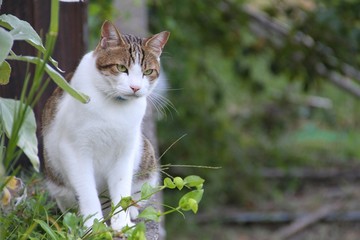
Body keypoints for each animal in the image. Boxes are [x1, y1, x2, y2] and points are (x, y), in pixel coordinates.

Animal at [42, 20, 170, 231]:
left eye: (148, 72)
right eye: (121, 68)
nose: (135, 87)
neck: (115, 107)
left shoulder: (126, 150)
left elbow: (121, 188)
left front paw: (122, 224)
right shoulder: (75, 150)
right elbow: (87, 192)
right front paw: (95, 227)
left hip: (146, 157)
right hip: (55, 178)